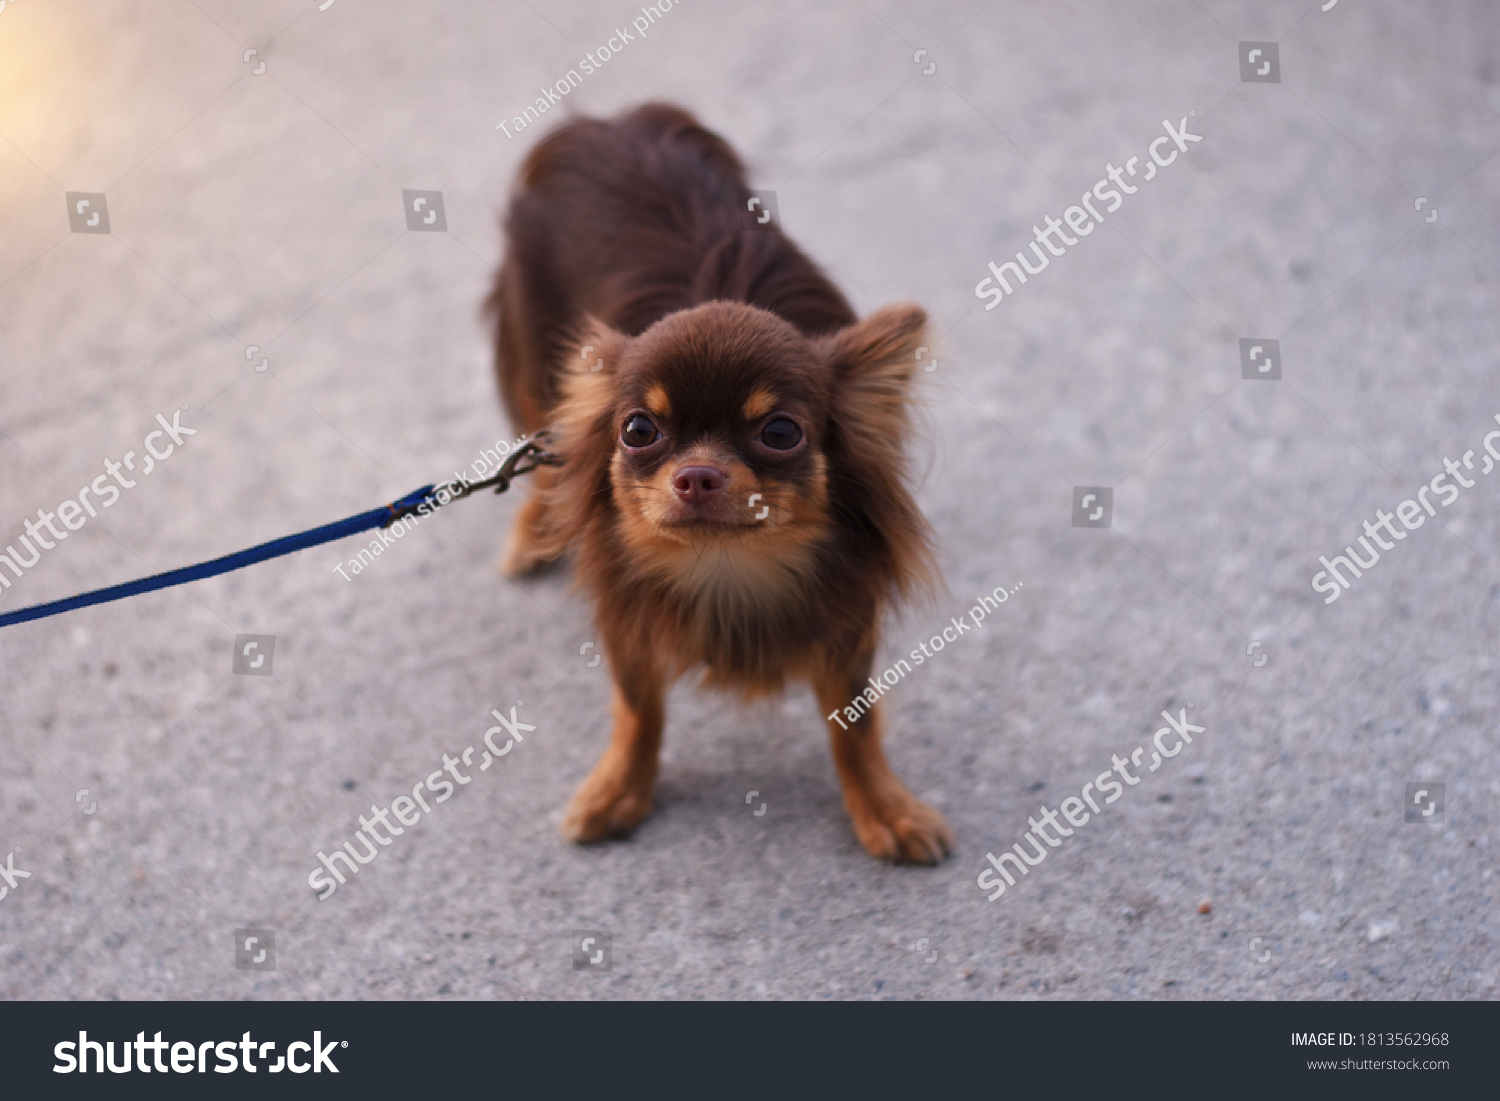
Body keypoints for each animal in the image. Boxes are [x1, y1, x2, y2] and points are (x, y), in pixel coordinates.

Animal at [483, 101, 948, 864]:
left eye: (780, 433)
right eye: (638, 430)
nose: (697, 475)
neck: (728, 567)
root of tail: (600, 120)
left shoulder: (847, 620)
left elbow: (854, 725)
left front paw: (884, 806)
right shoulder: (627, 620)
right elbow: (639, 708)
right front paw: (620, 790)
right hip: (535, 364)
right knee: (542, 447)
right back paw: (534, 531)